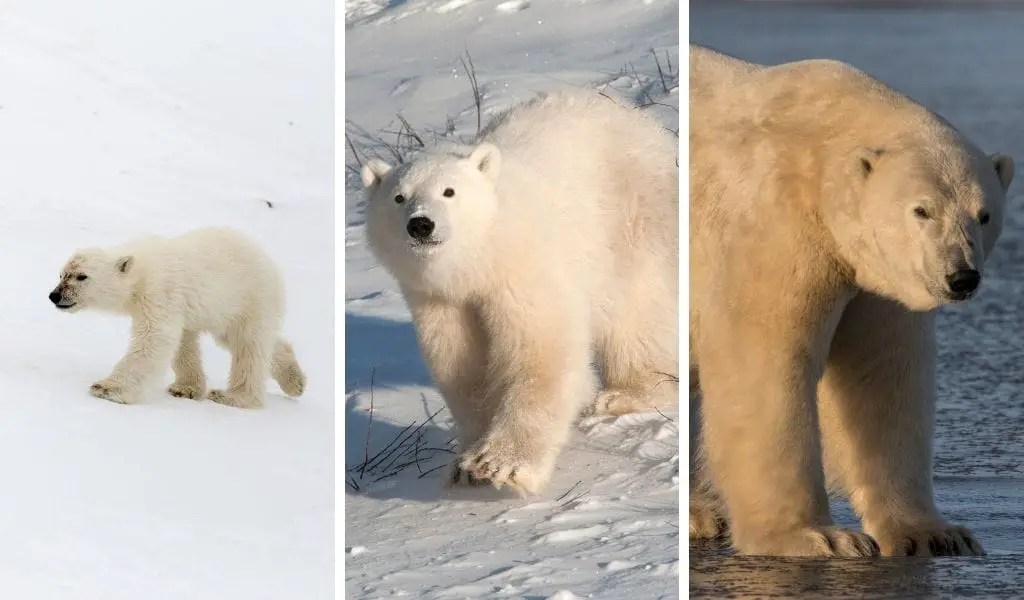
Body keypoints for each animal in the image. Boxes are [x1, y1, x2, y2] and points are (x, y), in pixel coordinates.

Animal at [49, 227, 306, 409]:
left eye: (82, 276)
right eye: (61, 274)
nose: (54, 295)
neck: (141, 271)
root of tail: (270, 262)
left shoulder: (160, 292)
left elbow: (154, 338)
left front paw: (107, 388)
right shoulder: (176, 306)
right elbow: (183, 341)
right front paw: (186, 388)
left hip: (249, 298)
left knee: (248, 345)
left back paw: (233, 396)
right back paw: (295, 381)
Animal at [361, 89, 679, 495]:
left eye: (449, 191)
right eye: (399, 197)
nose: (421, 225)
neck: (480, 259)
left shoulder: (522, 270)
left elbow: (540, 349)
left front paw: (502, 465)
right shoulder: (439, 299)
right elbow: (462, 366)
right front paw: (465, 466)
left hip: (631, 222)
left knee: (636, 312)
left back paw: (626, 393)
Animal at [689, 44, 1015, 557]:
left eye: (983, 214)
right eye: (922, 210)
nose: (961, 277)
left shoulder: (876, 279)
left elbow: (880, 378)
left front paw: (937, 535)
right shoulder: (774, 225)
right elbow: (764, 361)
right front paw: (817, 536)